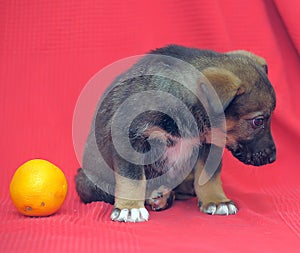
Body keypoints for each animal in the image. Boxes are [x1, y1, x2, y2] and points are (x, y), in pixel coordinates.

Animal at [75, 44, 276, 222]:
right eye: (258, 121)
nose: (273, 158)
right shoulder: (130, 139)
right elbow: (133, 179)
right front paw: (130, 208)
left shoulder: (208, 143)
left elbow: (209, 175)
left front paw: (217, 201)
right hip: (88, 181)